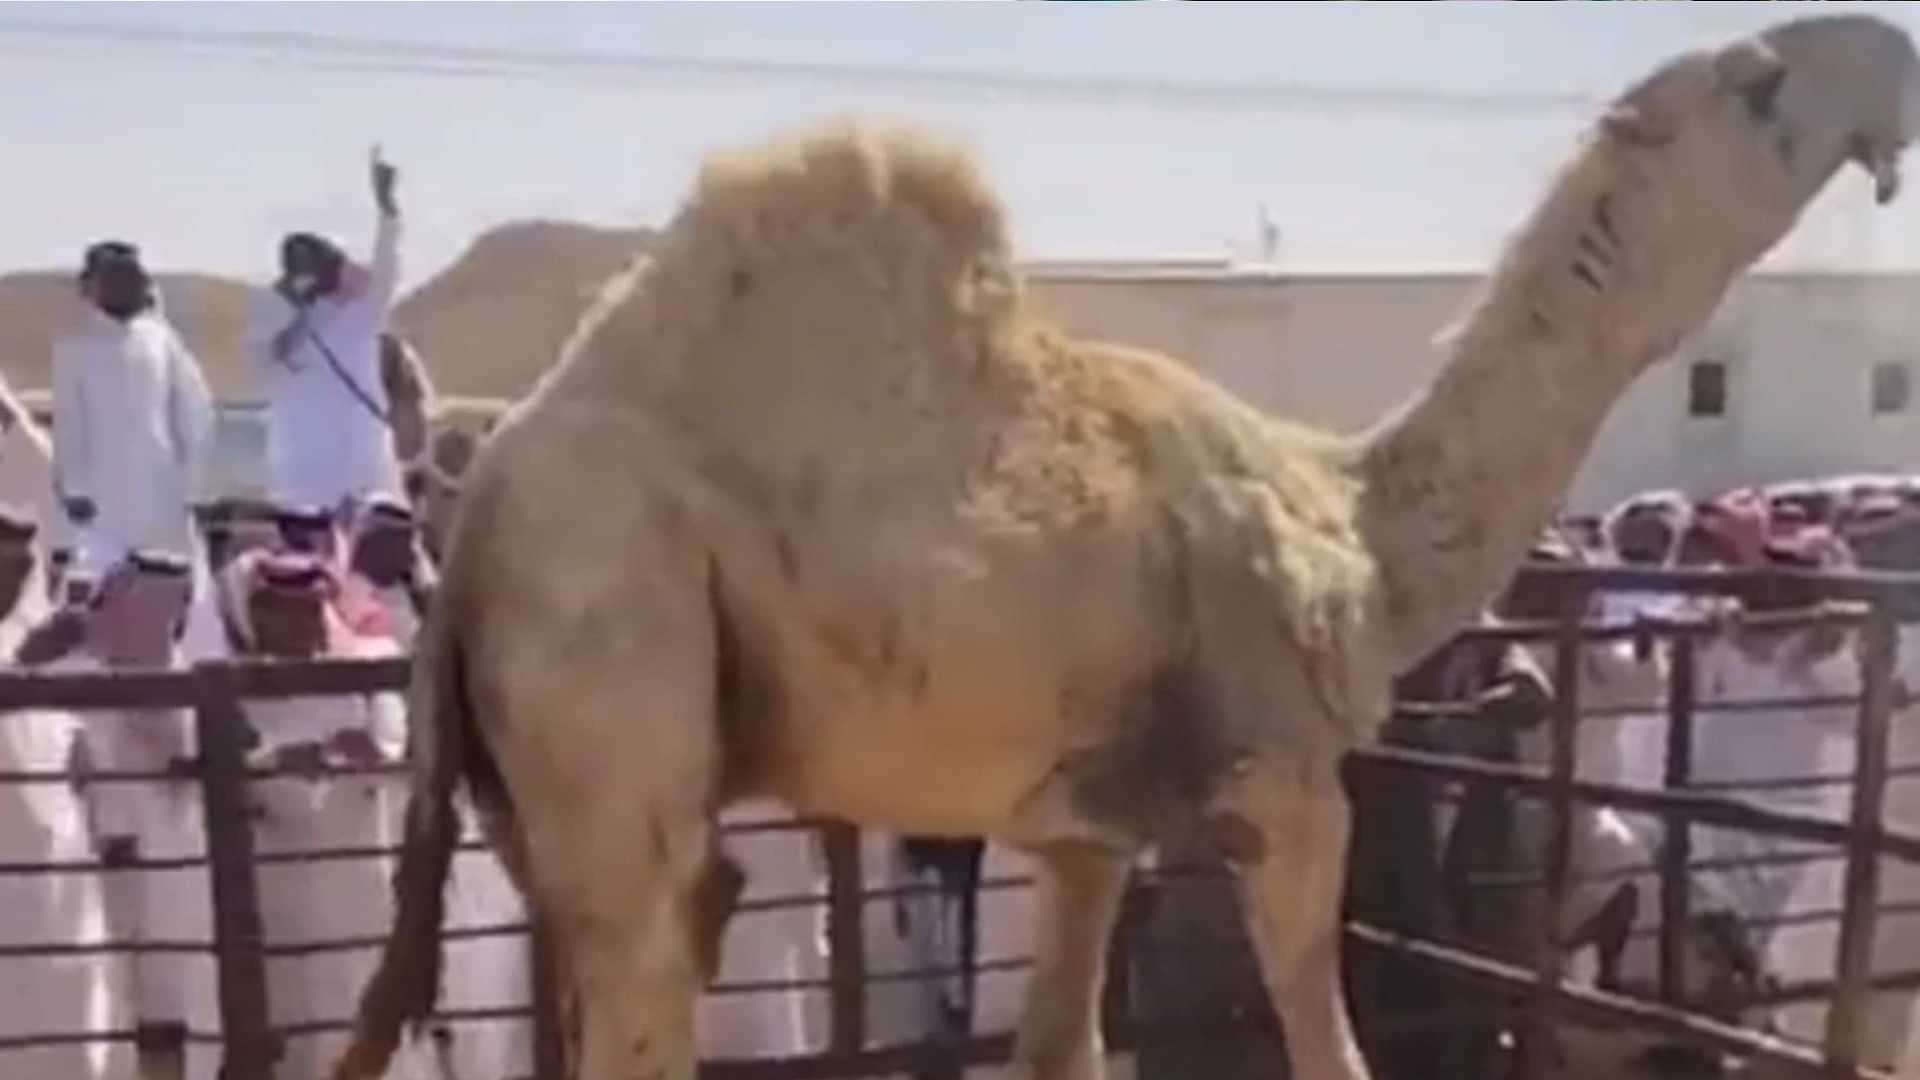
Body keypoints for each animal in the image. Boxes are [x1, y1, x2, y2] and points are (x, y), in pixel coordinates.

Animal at [335, 15, 1920, 1080]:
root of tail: (476, 512)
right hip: (619, 637)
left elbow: (1062, 1044)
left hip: (531, 768)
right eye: (1759, 79)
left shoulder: (1082, 823)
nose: (1887, 56)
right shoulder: (1285, 786)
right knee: (654, 960)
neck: (1353, 530)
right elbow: (1326, 1043)